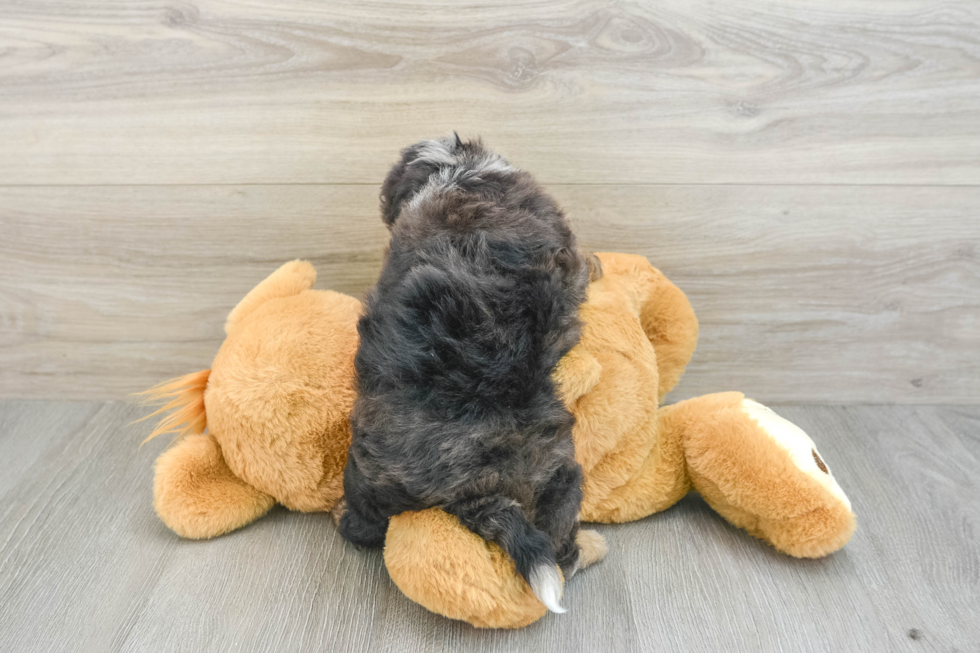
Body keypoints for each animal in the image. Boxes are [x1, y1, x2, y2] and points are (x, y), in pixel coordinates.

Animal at [340, 132, 608, 612]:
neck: (458, 171)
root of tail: (473, 492)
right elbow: (582, 262)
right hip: (558, 476)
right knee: (561, 548)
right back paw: (588, 547)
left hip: (367, 478)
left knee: (364, 529)